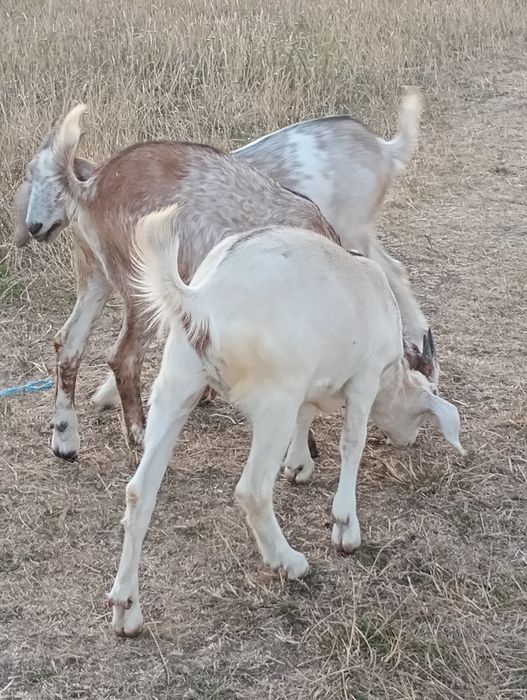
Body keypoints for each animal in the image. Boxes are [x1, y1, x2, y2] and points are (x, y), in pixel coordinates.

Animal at [14, 92, 430, 461]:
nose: (33, 226)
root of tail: (92, 187)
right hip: (140, 284)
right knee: (124, 357)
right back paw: (140, 435)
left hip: (96, 277)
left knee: (68, 343)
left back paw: (65, 439)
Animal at [108, 207, 463, 637]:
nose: (409, 441)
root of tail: (203, 298)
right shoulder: (363, 377)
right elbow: (352, 442)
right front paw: (345, 527)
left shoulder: (310, 380)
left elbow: (307, 413)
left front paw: (299, 466)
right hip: (273, 400)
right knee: (253, 491)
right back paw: (291, 562)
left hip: (178, 383)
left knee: (139, 492)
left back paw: (126, 609)